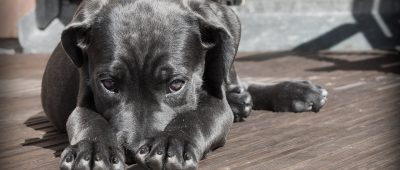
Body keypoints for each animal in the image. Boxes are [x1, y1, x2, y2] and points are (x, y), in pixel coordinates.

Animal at [41, 0, 328, 169]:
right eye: (109, 84)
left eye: (176, 84)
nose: (134, 150)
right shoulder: (84, 96)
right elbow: (88, 120)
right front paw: (93, 150)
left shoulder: (214, 100)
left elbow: (198, 116)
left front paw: (172, 143)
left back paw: (296, 91)